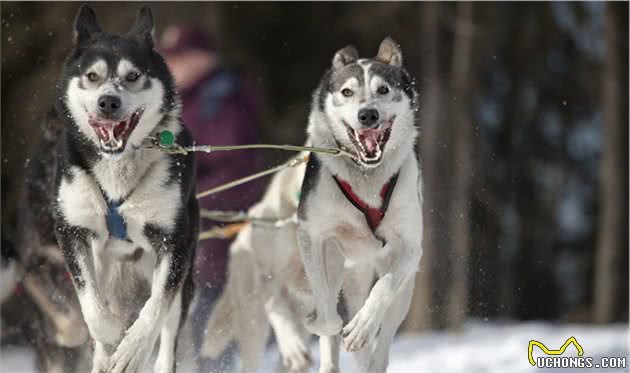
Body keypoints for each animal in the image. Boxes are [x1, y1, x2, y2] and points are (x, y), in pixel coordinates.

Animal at [54, 5, 199, 372]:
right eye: (92, 76)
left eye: (132, 76)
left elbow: (155, 307)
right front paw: (109, 334)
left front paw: (132, 349)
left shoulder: (175, 241)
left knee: (168, 332)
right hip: (104, 263)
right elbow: (90, 304)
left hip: (182, 273)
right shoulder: (71, 231)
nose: (108, 102)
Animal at [298, 38, 424, 372]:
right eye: (346, 92)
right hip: (340, 262)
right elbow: (327, 313)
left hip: (405, 291)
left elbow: (384, 288)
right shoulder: (311, 235)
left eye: (383, 89)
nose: (368, 115)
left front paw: (363, 327)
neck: (365, 175)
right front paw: (320, 323)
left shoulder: (410, 248)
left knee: (384, 336)